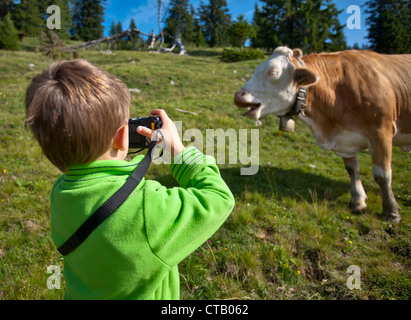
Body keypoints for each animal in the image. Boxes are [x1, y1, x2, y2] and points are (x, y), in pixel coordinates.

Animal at [235, 47, 411, 222]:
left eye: (273, 72)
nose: (238, 95)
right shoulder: (344, 139)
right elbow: (352, 169)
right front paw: (358, 200)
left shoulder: (381, 132)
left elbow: (382, 175)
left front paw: (391, 212)